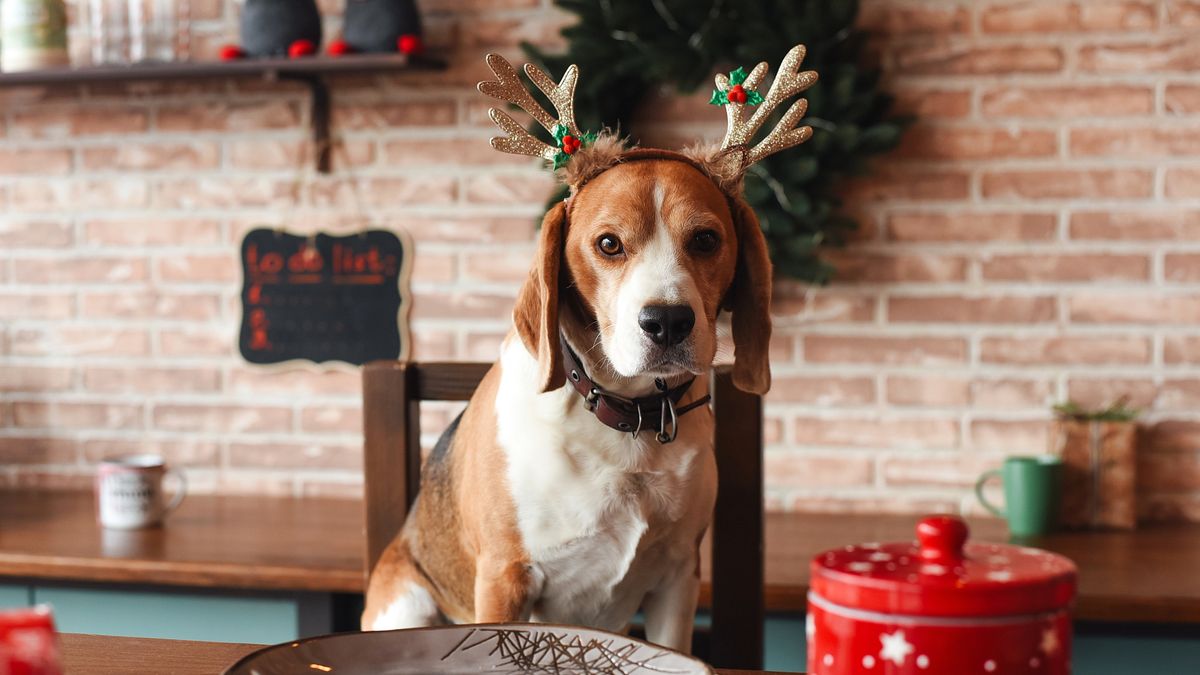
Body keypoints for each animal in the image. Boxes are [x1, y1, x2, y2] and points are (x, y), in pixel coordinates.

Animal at [362, 44, 816, 648]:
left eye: (705, 240)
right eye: (608, 244)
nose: (667, 322)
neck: (630, 420)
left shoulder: (679, 579)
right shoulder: (504, 577)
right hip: (406, 604)